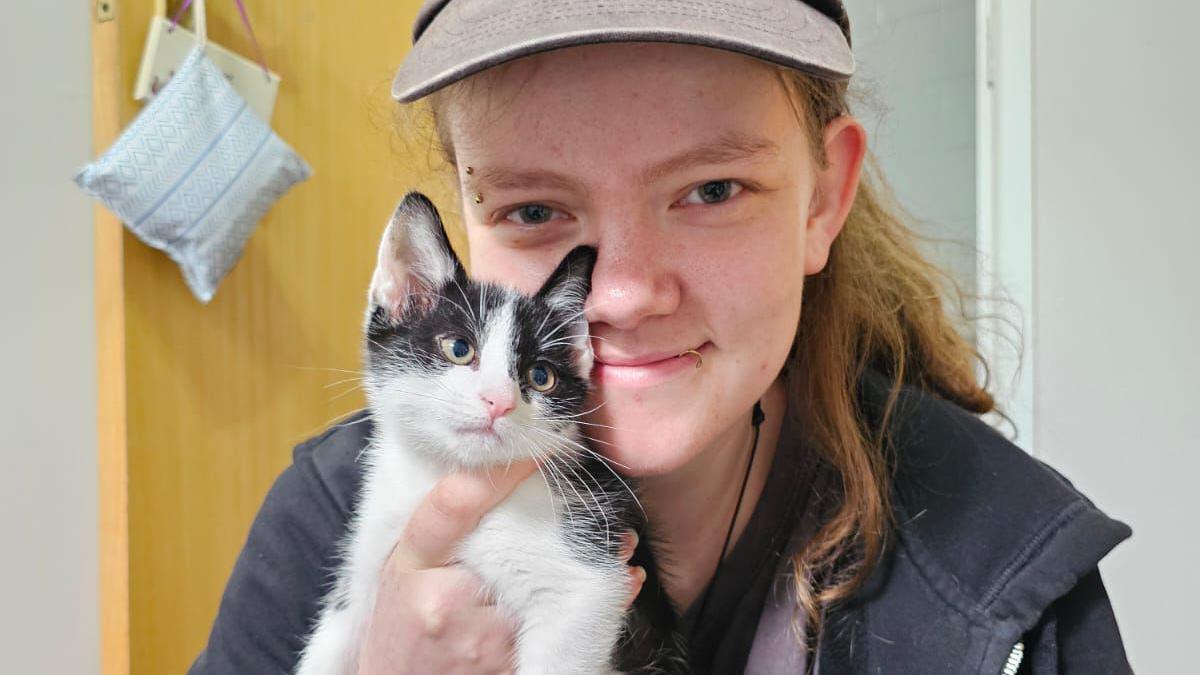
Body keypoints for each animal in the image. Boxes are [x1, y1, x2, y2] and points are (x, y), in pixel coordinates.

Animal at [296, 192, 691, 667]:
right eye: (458, 349)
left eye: (541, 377)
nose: (499, 401)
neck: (447, 475)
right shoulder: (370, 557)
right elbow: (335, 633)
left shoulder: (589, 578)